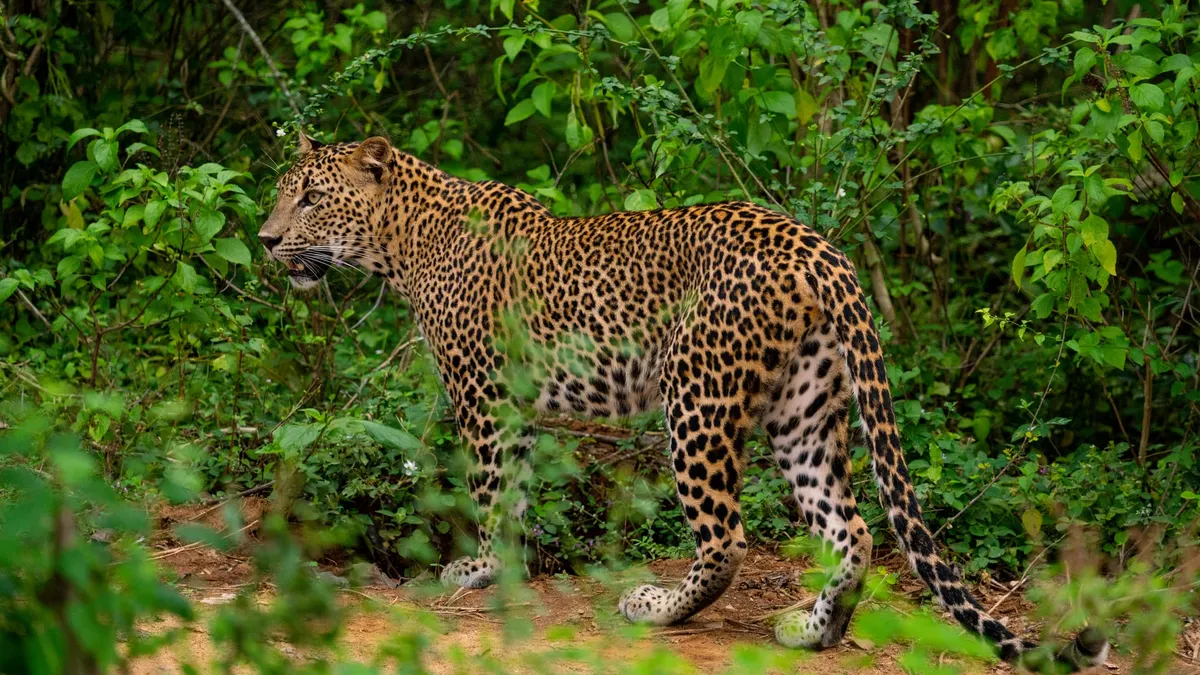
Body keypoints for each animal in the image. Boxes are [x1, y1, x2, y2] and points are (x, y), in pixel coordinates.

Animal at [257, 132, 1108, 671]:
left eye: (310, 199)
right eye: (282, 196)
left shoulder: (482, 394)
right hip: (804, 410)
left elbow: (492, 490)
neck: (403, 241)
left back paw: (659, 606)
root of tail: (822, 249)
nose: (264, 240)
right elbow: (520, 493)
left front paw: (478, 569)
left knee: (727, 537)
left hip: (695, 394)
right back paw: (813, 629)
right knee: (854, 527)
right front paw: (511, 567)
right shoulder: (518, 406)